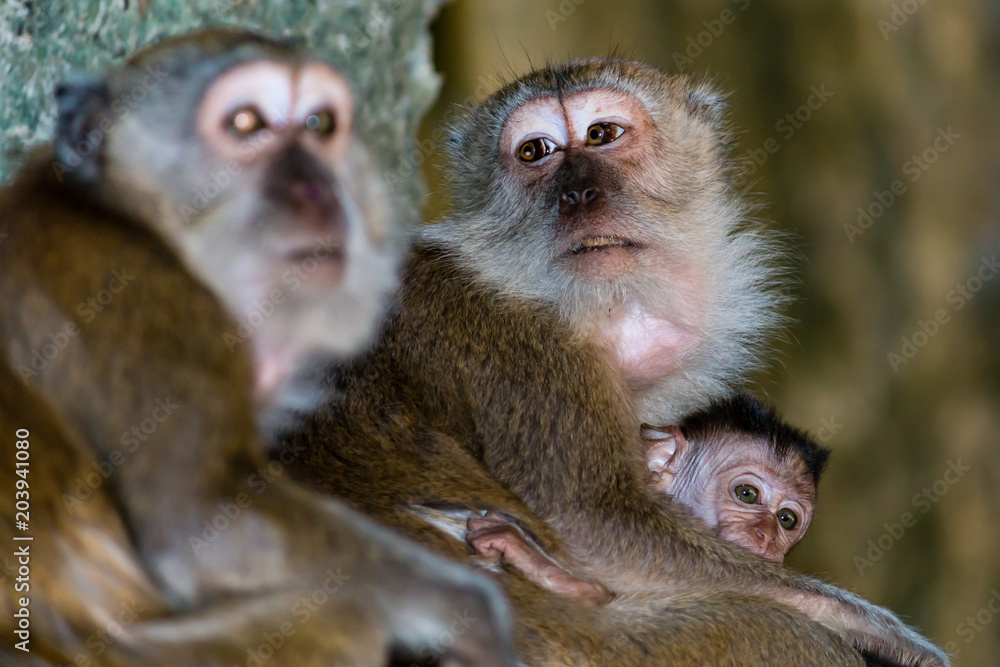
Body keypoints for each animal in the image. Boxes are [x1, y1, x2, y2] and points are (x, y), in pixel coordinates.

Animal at [0, 29, 515, 666]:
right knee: (352, 615)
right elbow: (199, 524)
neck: (137, 222)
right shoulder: (128, 290)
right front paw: (475, 617)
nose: (318, 189)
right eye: (246, 123)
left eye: (319, 124)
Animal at [282, 58, 947, 666]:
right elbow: (592, 524)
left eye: (602, 134)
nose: (578, 192)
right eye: (537, 151)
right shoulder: (529, 351)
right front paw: (883, 631)